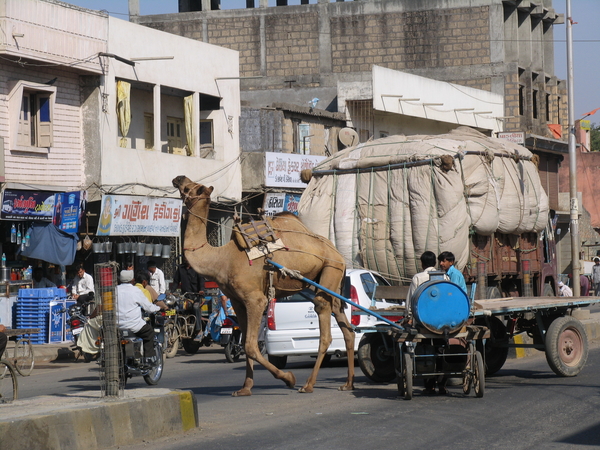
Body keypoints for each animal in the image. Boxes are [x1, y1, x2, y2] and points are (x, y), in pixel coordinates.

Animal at [171, 176, 354, 398]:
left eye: (191, 187)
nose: (178, 178)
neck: (222, 259)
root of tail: (338, 253)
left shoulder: (255, 299)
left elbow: (251, 345)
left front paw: (288, 378)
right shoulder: (237, 301)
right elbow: (243, 342)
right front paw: (245, 388)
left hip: (330, 268)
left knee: (323, 319)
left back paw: (308, 384)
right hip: (327, 280)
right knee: (344, 323)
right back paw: (348, 383)